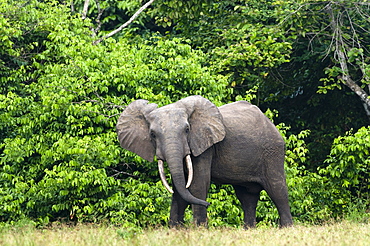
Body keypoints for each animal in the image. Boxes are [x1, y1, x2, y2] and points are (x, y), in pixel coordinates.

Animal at [115, 95, 292, 228]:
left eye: (187, 130)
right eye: (152, 134)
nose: (208, 204)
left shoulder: (204, 146)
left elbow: (198, 184)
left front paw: (199, 229)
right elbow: (180, 187)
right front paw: (174, 230)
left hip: (272, 151)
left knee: (277, 189)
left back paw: (286, 229)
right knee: (246, 196)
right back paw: (248, 230)